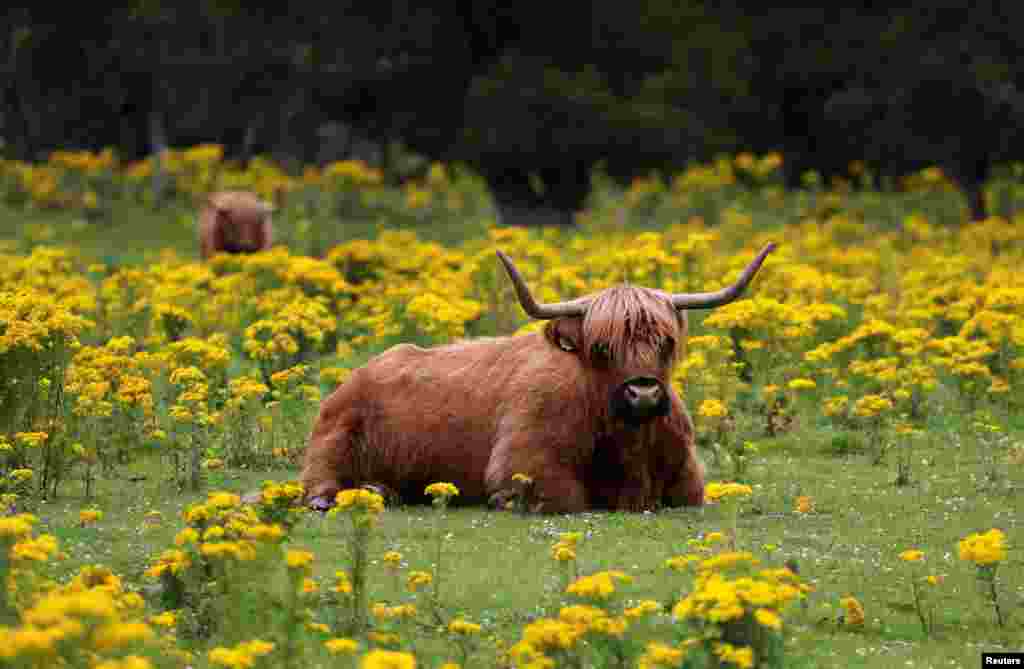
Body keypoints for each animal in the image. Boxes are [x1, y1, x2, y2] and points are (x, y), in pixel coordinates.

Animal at [299, 243, 778, 512]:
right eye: (601, 348)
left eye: (666, 343)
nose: (642, 393)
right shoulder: (523, 461)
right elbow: (569, 500)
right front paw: (503, 501)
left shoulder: (689, 481)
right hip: (334, 438)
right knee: (318, 483)